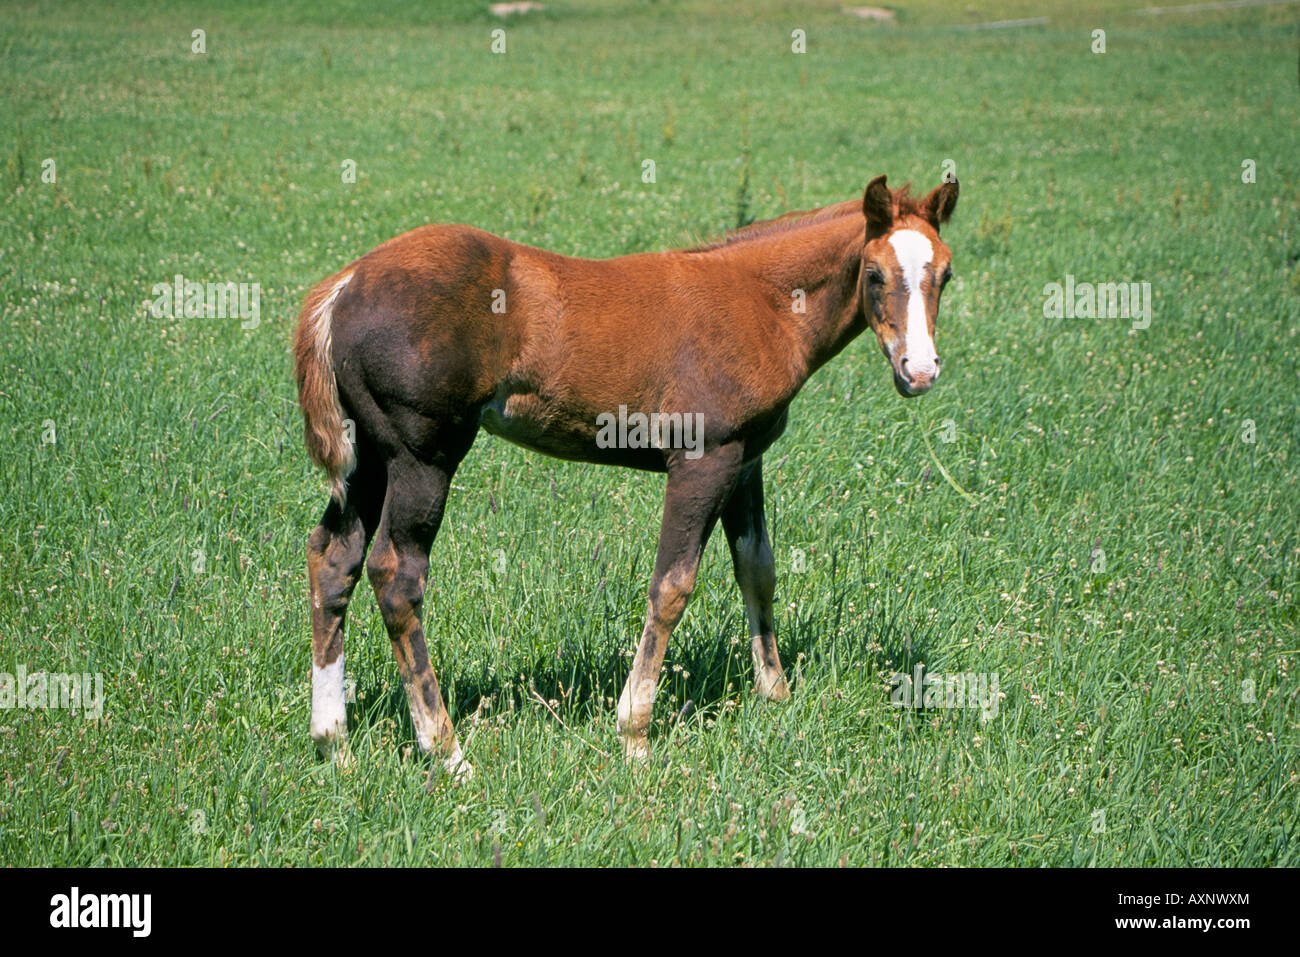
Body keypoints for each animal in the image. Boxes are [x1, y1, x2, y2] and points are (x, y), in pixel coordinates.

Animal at [294, 173, 959, 778]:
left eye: (946, 275)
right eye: (874, 275)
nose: (920, 371)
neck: (763, 303)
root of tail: (344, 287)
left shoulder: (746, 458)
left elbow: (757, 568)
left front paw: (776, 695)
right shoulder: (703, 459)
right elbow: (672, 588)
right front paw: (634, 732)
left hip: (368, 457)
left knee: (333, 557)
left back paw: (334, 744)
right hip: (422, 455)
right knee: (396, 576)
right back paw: (448, 752)